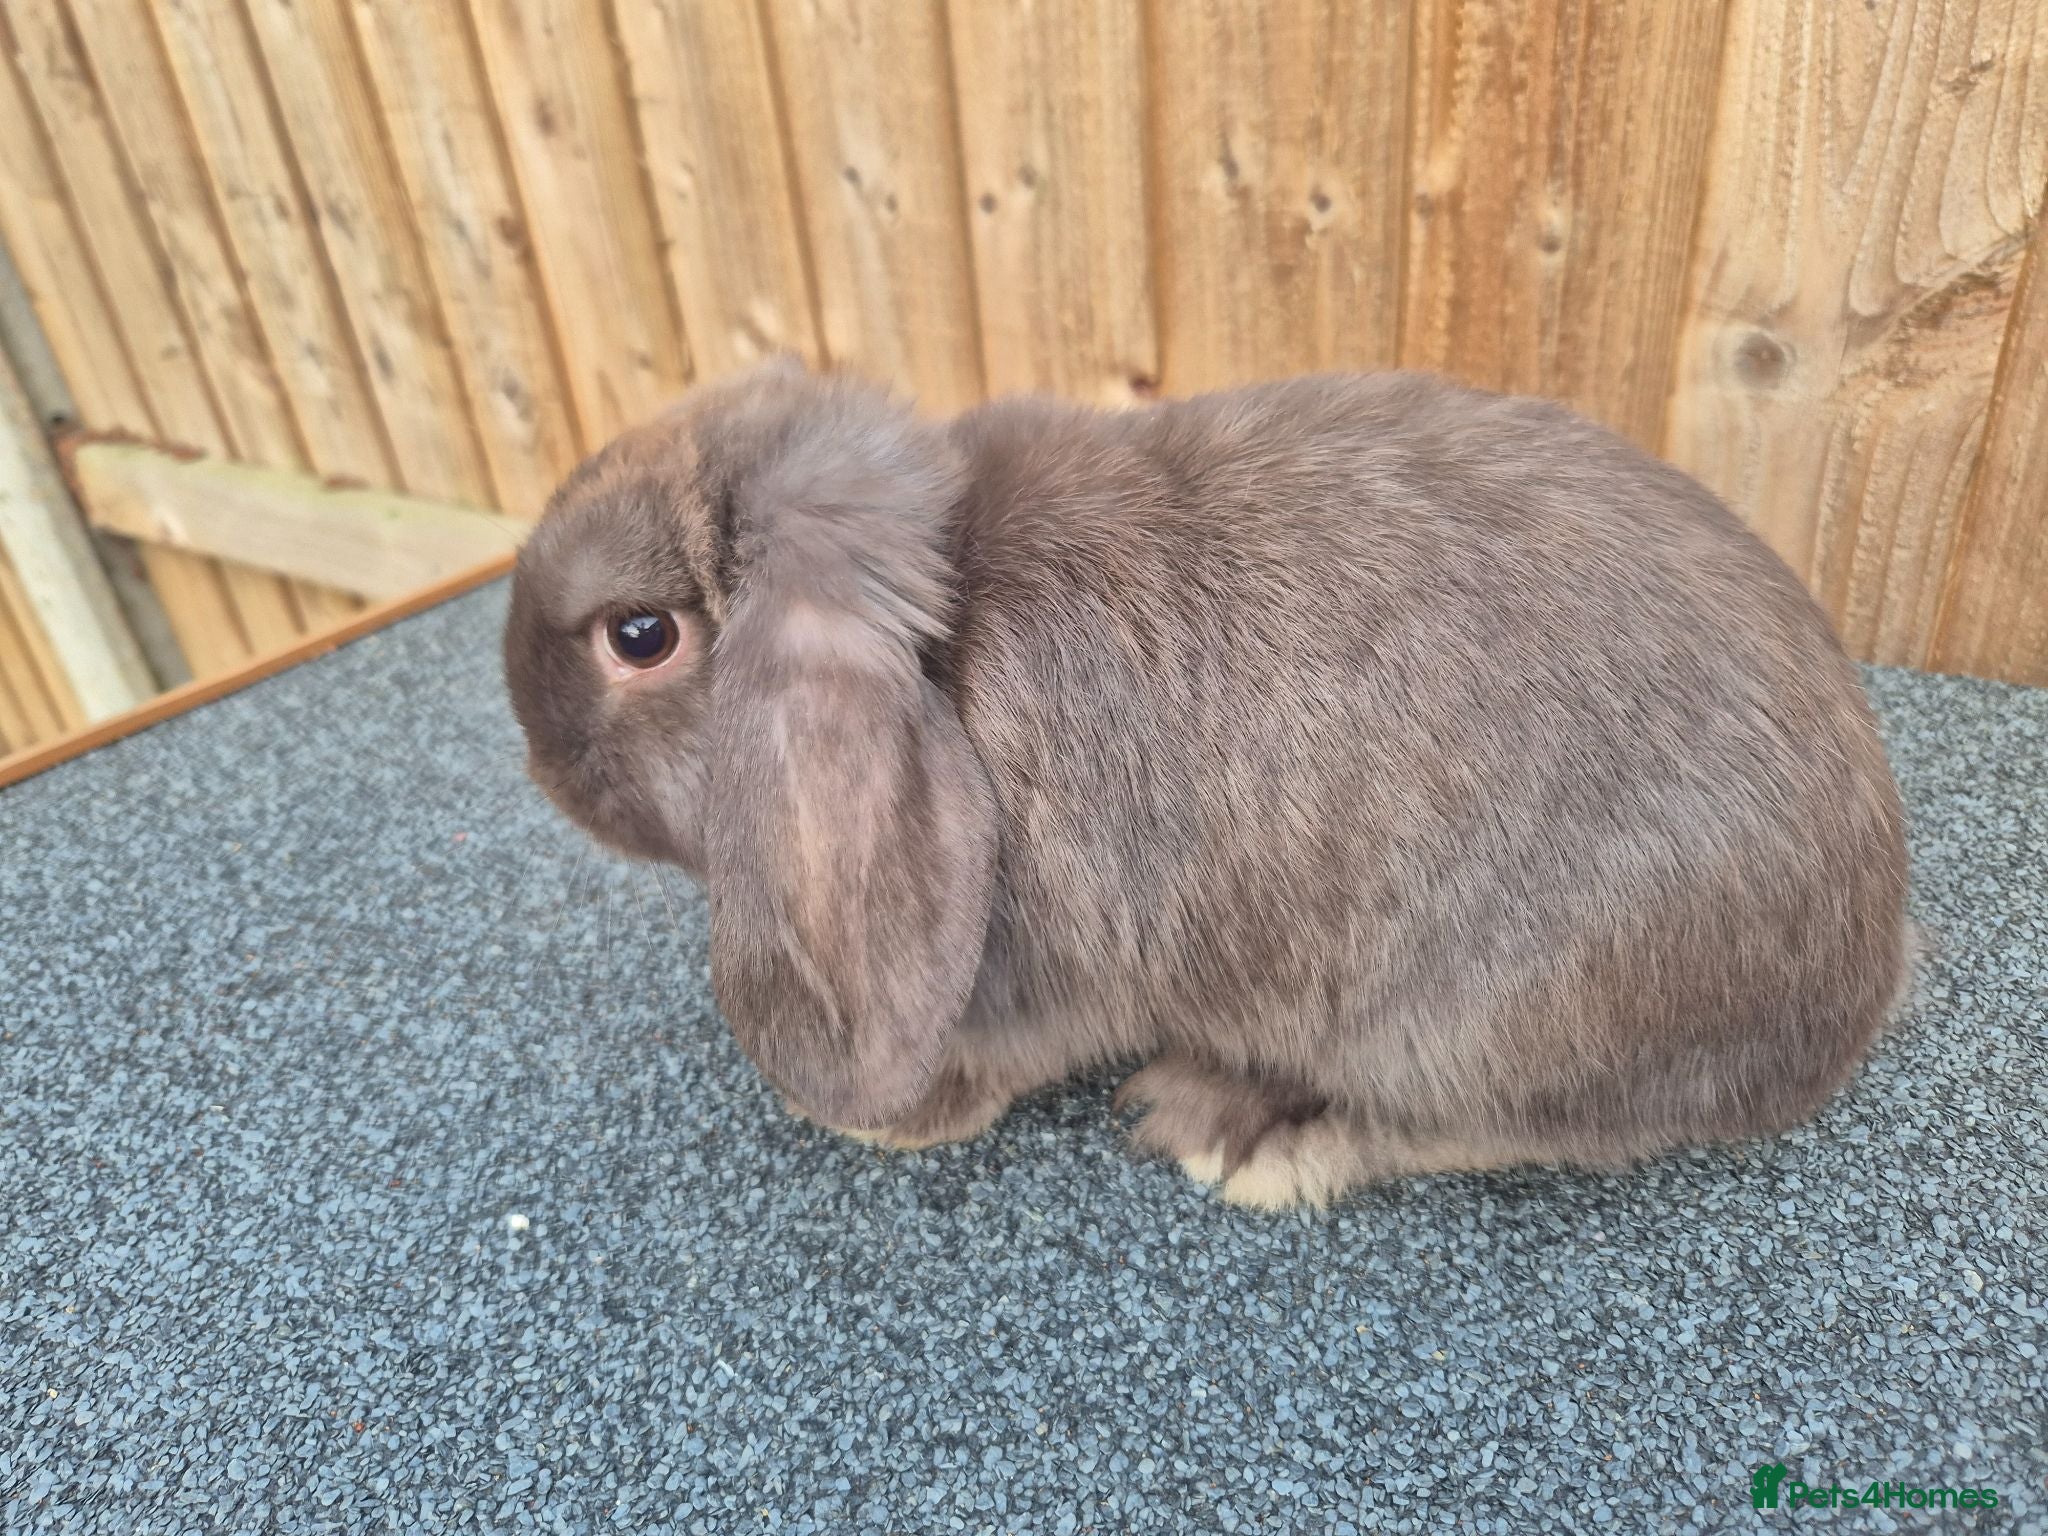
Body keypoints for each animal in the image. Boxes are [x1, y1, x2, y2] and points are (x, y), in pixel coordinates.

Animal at [502, 357, 1909, 1210]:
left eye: (639, 638)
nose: (540, 763)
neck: (946, 646)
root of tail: (1857, 986)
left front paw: (889, 1121)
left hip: (1489, 1015)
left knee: (1480, 1124)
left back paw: (1237, 1133)